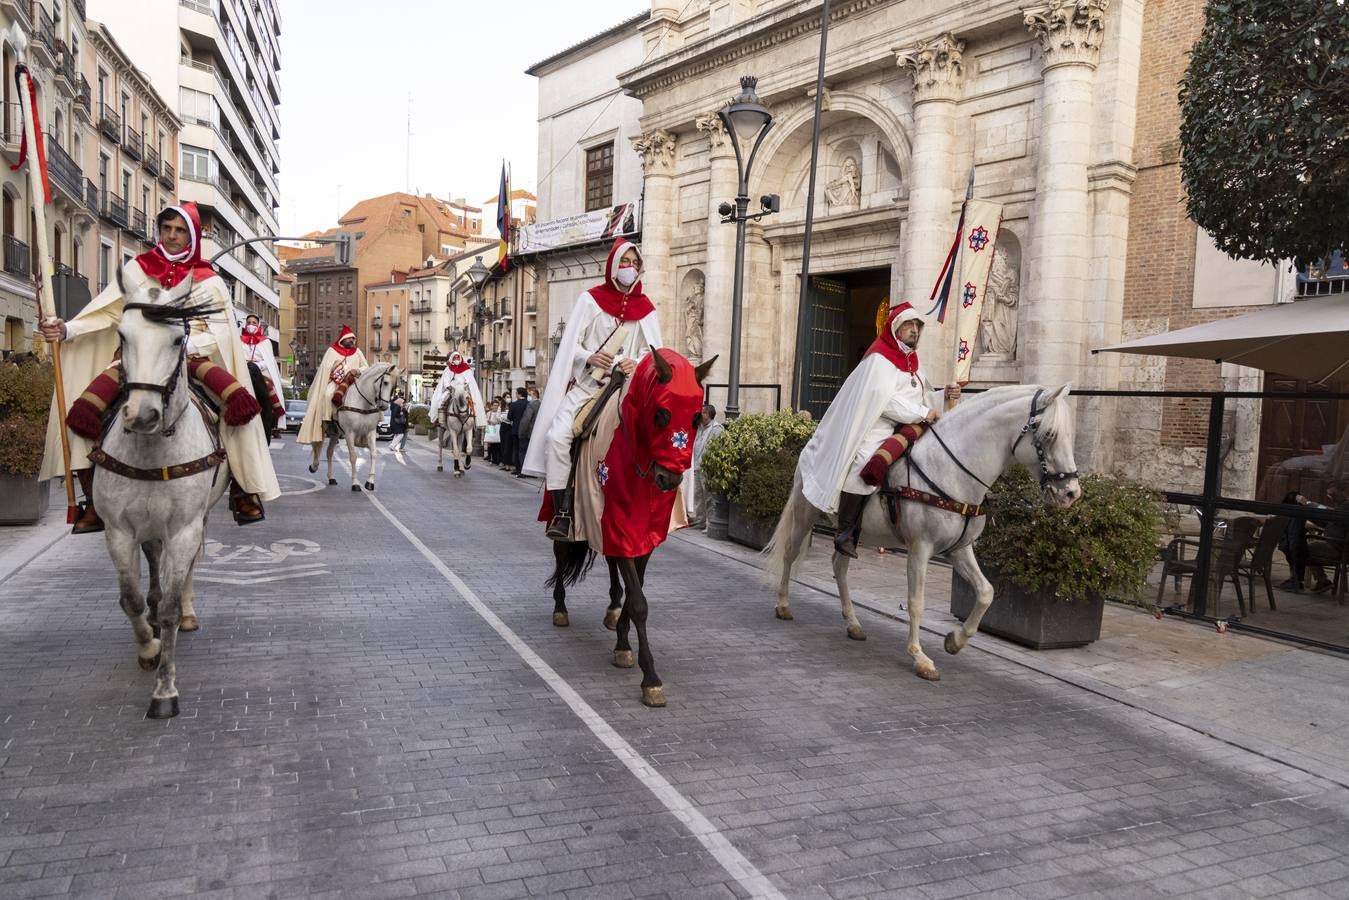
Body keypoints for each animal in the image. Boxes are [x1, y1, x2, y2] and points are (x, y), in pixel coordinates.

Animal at [92, 272, 229, 717]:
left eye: (176, 339)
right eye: (122, 335)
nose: (143, 415)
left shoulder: (185, 528)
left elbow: (169, 605)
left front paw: (165, 690)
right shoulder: (117, 531)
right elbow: (131, 599)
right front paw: (148, 648)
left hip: (197, 521)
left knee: (182, 570)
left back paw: (186, 612)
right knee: (153, 558)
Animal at [310, 361, 399, 493]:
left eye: (394, 386)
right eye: (386, 382)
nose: (384, 406)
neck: (362, 403)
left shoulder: (371, 432)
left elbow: (373, 454)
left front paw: (370, 482)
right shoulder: (349, 433)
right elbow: (353, 457)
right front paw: (355, 483)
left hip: (336, 433)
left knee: (329, 452)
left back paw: (331, 477)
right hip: (322, 427)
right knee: (316, 446)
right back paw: (314, 466)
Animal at [542, 348, 717, 707]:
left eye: (696, 417)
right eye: (661, 414)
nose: (669, 479)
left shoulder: (643, 538)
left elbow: (637, 588)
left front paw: (623, 642)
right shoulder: (618, 524)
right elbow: (639, 602)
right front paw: (650, 677)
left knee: (610, 565)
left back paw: (611, 608)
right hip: (562, 512)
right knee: (562, 554)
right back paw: (560, 608)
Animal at [766, 385, 1079, 682]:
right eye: (1049, 434)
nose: (1071, 493)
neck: (952, 470)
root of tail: (812, 442)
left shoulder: (958, 549)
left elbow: (986, 593)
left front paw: (955, 641)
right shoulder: (920, 548)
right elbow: (916, 602)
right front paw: (920, 658)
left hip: (851, 533)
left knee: (839, 565)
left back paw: (853, 623)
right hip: (805, 512)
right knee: (790, 553)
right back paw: (783, 605)